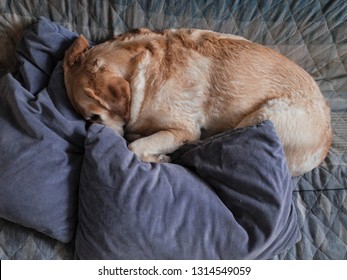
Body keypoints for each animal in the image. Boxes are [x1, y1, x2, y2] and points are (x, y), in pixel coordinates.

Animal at [64, 26, 334, 175]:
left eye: (94, 117)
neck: (139, 74)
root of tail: (325, 144)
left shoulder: (183, 129)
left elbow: (135, 147)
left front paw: (158, 156)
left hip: (264, 116)